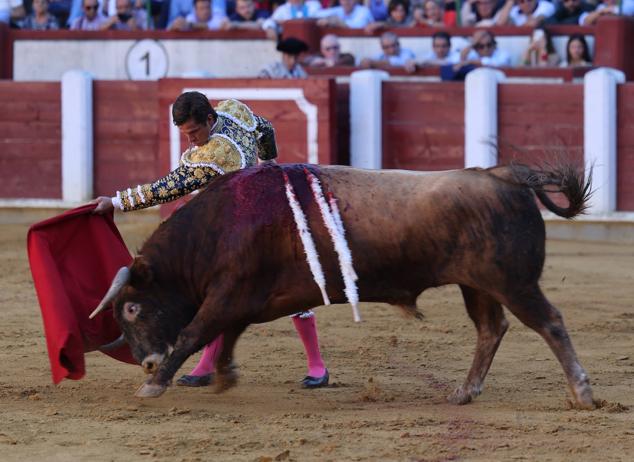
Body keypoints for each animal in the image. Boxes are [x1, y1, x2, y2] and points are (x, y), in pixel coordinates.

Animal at [91, 162, 596, 408]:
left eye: (132, 308)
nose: (145, 361)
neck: (219, 224)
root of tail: (502, 175)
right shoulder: (242, 299)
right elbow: (226, 334)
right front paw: (223, 375)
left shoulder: (229, 293)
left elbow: (195, 332)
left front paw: (155, 385)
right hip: (478, 285)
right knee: (491, 329)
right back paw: (464, 393)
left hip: (513, 281)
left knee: (549, 322)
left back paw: (582, 393)